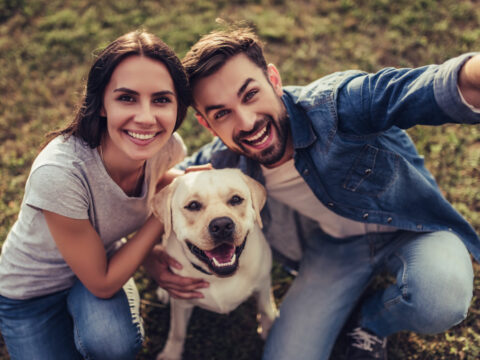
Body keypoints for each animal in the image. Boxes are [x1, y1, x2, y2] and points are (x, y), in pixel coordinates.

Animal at [150, 169, 278, 360]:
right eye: (193, 205)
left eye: (236, 199)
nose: (222, 225)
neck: (219, 277)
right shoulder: (181, 303)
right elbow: (177, 331)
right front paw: (171, 353)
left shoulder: (262, 283)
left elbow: (264, 308)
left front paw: (269, 328)